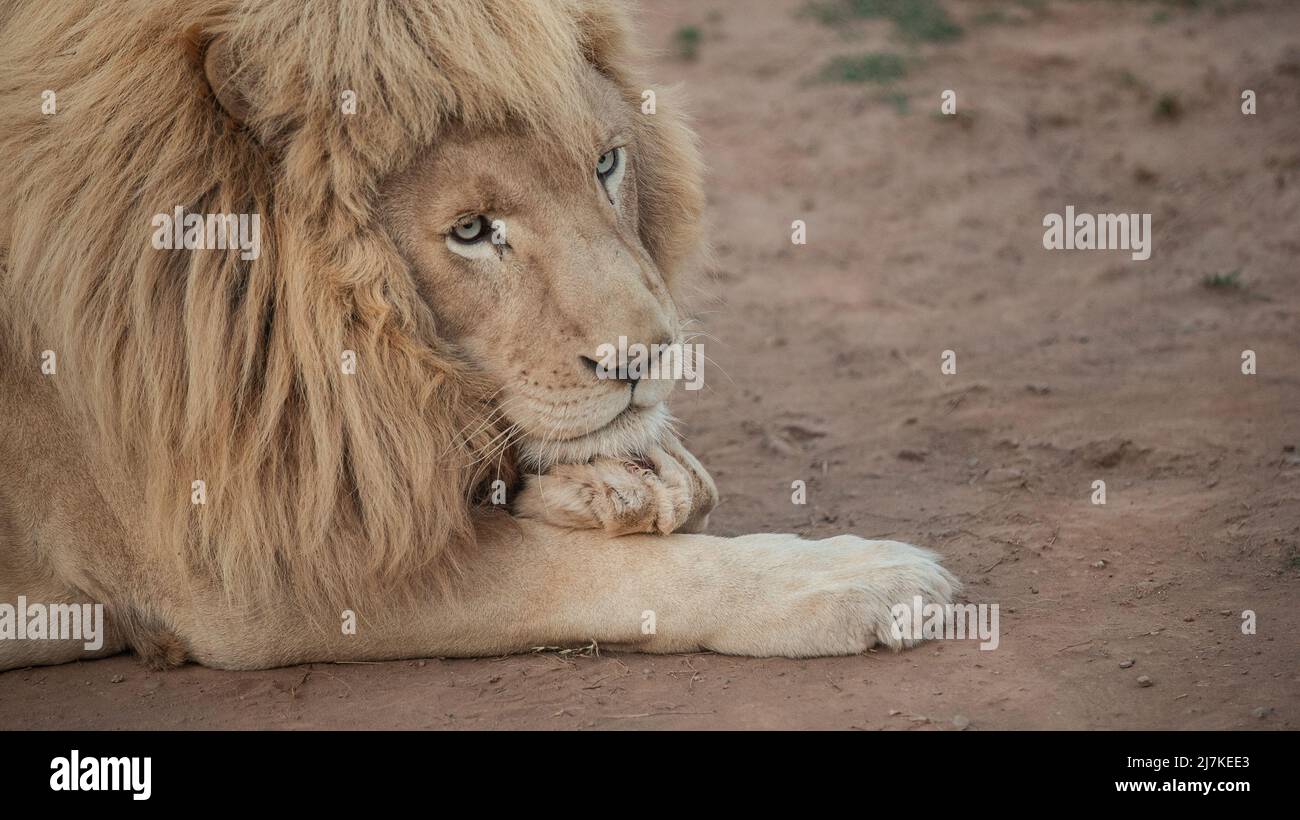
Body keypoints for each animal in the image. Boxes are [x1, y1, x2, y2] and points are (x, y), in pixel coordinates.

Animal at [0, 0, 956, 675]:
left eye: (606, 164)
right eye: (470, 230)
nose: (650, 358)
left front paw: (629, 483)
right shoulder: (247, 579)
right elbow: (596, 576)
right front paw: (855, 580)